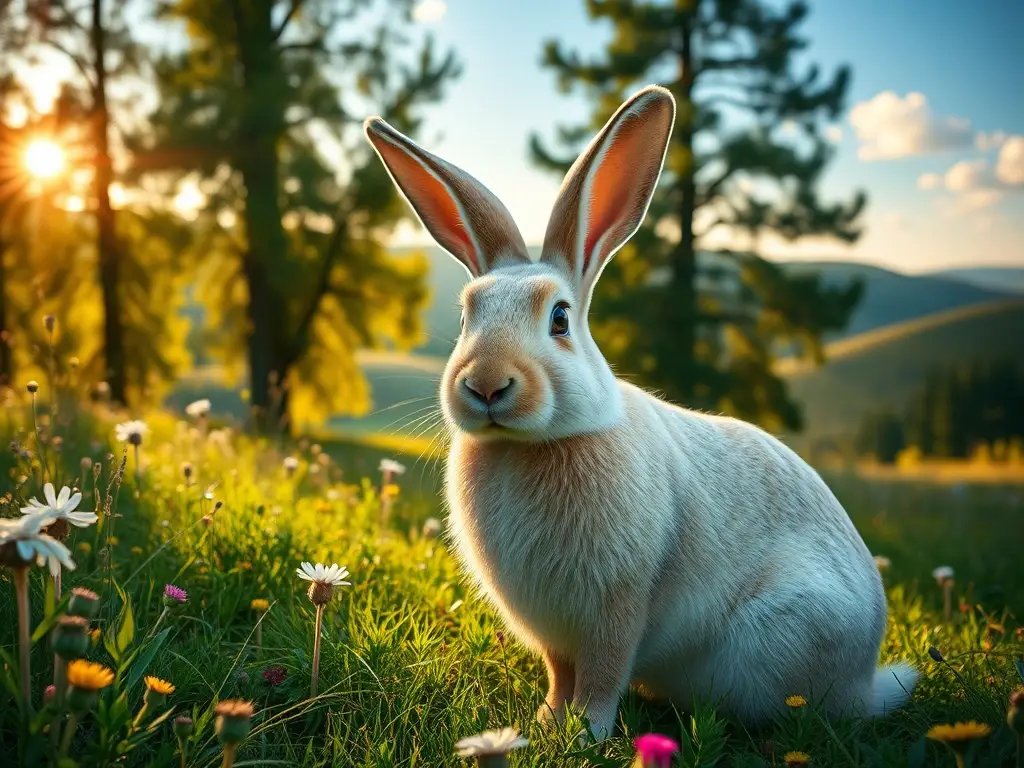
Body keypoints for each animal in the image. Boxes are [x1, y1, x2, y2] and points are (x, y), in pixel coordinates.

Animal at [363, 84, 918, 742]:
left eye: (559, 318)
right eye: (467, 312)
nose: (486, 385)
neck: (531, 445)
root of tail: (865, 680)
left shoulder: (617, 607)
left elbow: (604, 674)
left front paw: (586, 732)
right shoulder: (558, 636)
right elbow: (560, 673)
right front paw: (548, 721)